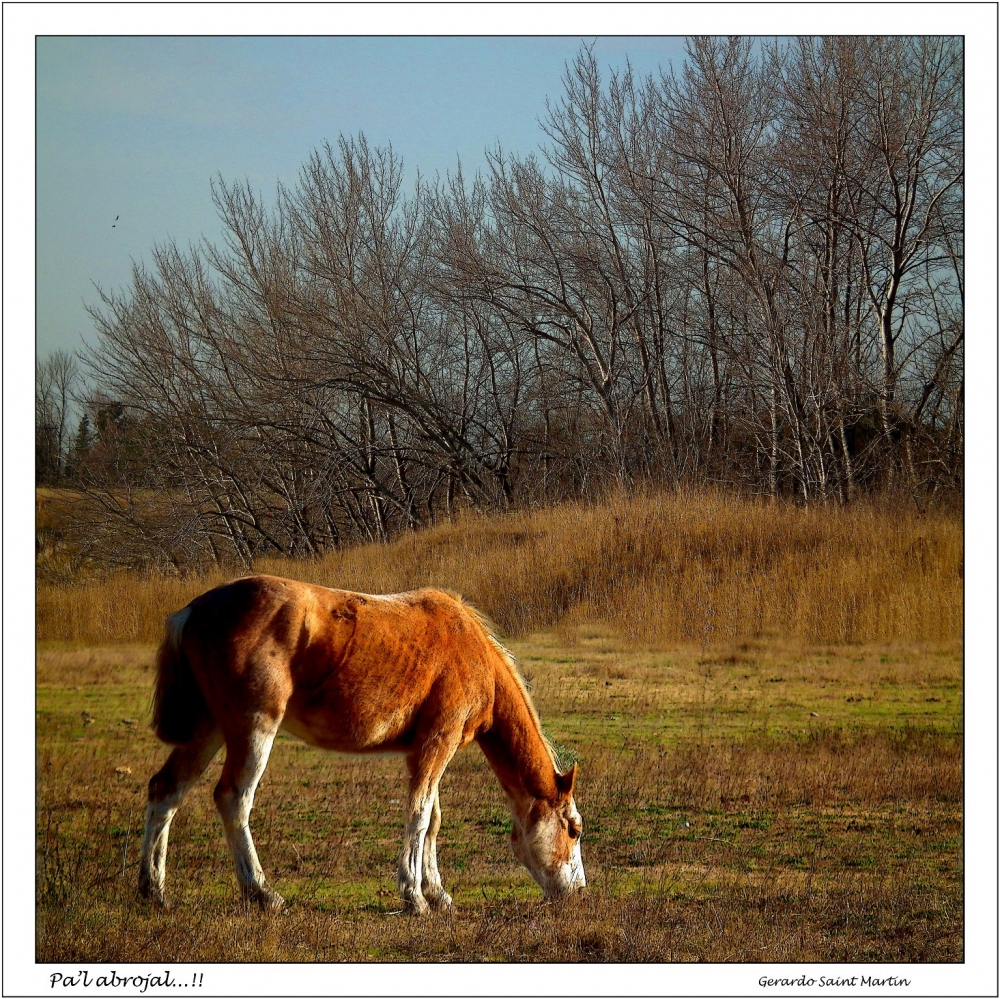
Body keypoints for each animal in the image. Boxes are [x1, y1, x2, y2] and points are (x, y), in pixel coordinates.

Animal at [137, 580, 584, 916]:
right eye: (575, 829)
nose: (579, 892)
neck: (472, 651)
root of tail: (193, 610)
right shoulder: (438, 742)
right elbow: (419, 815)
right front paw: (415, 896)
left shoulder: (422, 751)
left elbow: (433, 821)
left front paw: (438, 893)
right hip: (252, 729)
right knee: (233, 799)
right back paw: (262, 893)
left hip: (206, 729)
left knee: (166, 791)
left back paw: (153, 889)